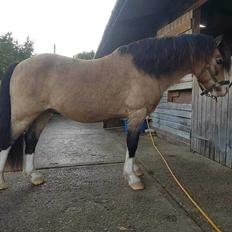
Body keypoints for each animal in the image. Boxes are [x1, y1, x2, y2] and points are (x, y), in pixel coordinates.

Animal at [0, 34, 230, 190]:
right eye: (219, 60)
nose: (224, 89)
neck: (144, 68)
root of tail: (19, 64)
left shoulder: (136, 116)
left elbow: (131, 145)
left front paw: (135, 171)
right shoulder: (137, 113)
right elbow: (133, 143)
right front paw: (133, 178)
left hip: (43, 114)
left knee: (31, 141)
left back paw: (34, 177)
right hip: (22, 117)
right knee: (7, 142)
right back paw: (3, 182)